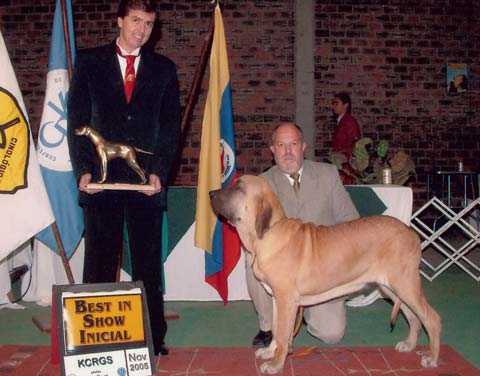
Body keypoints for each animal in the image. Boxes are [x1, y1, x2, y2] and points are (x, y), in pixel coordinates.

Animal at [210, 176, 442, 374]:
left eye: (239, 188)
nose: (211, 193)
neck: (267, 233)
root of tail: (411, 232)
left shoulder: (286, 300)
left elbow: (283, 334)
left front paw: (275, 364)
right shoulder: (277, 299)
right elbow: (277, 329)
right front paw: (270, 352)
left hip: (405, 285)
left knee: (431, 318)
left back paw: (432, 357)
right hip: (391, 288)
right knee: (413, 317)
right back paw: (409, 345)